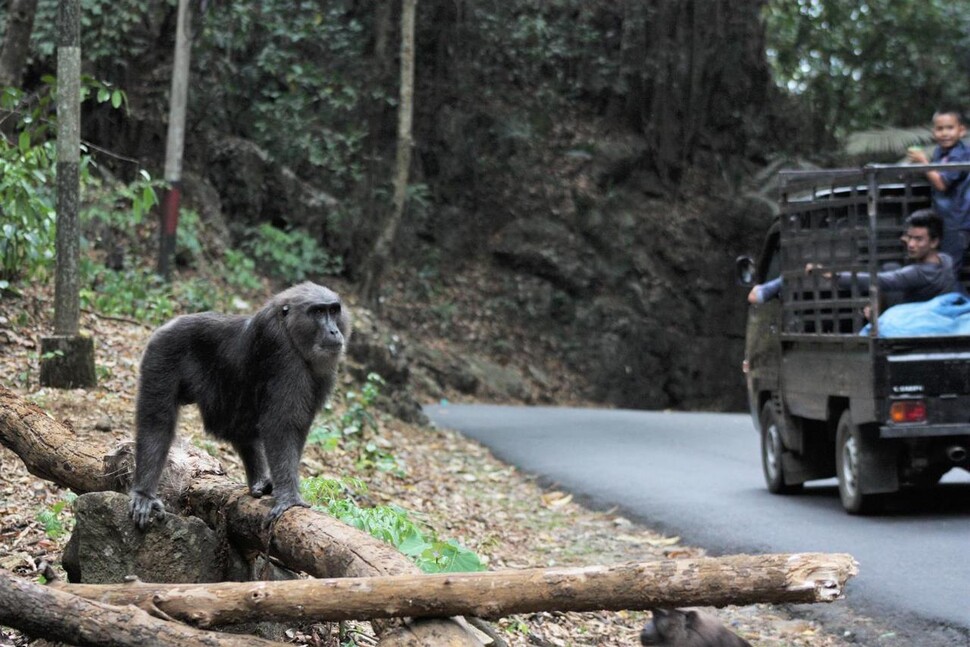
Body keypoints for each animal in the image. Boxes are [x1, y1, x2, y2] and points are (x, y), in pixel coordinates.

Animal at [126, 284, 350, 532]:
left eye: (333, 310)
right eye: (318, 312)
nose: (333, 331)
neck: (289, 328)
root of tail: (169, 323)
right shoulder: (279, 347)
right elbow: (282, 426)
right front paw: (289, 496)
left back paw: (259, 482)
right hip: (162, 350)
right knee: (157, 421)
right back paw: (144, 492)